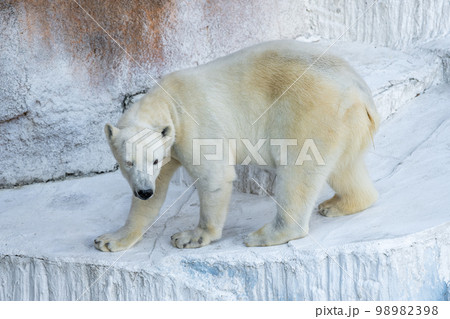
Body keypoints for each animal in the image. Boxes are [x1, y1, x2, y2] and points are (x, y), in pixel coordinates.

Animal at [95, 40, 380, 252]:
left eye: (152, 160)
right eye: (128, 162)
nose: (144, 191)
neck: (169, 101)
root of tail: (361, 92)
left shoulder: (195, 125)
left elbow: (214, 176)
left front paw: (189, 237)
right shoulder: (168, 146)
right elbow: (156, 192)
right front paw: (110, 239)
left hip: (312, 113)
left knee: (299, 171)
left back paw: (264, 234)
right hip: (347, 124)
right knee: (344, 168)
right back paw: (339, 204)